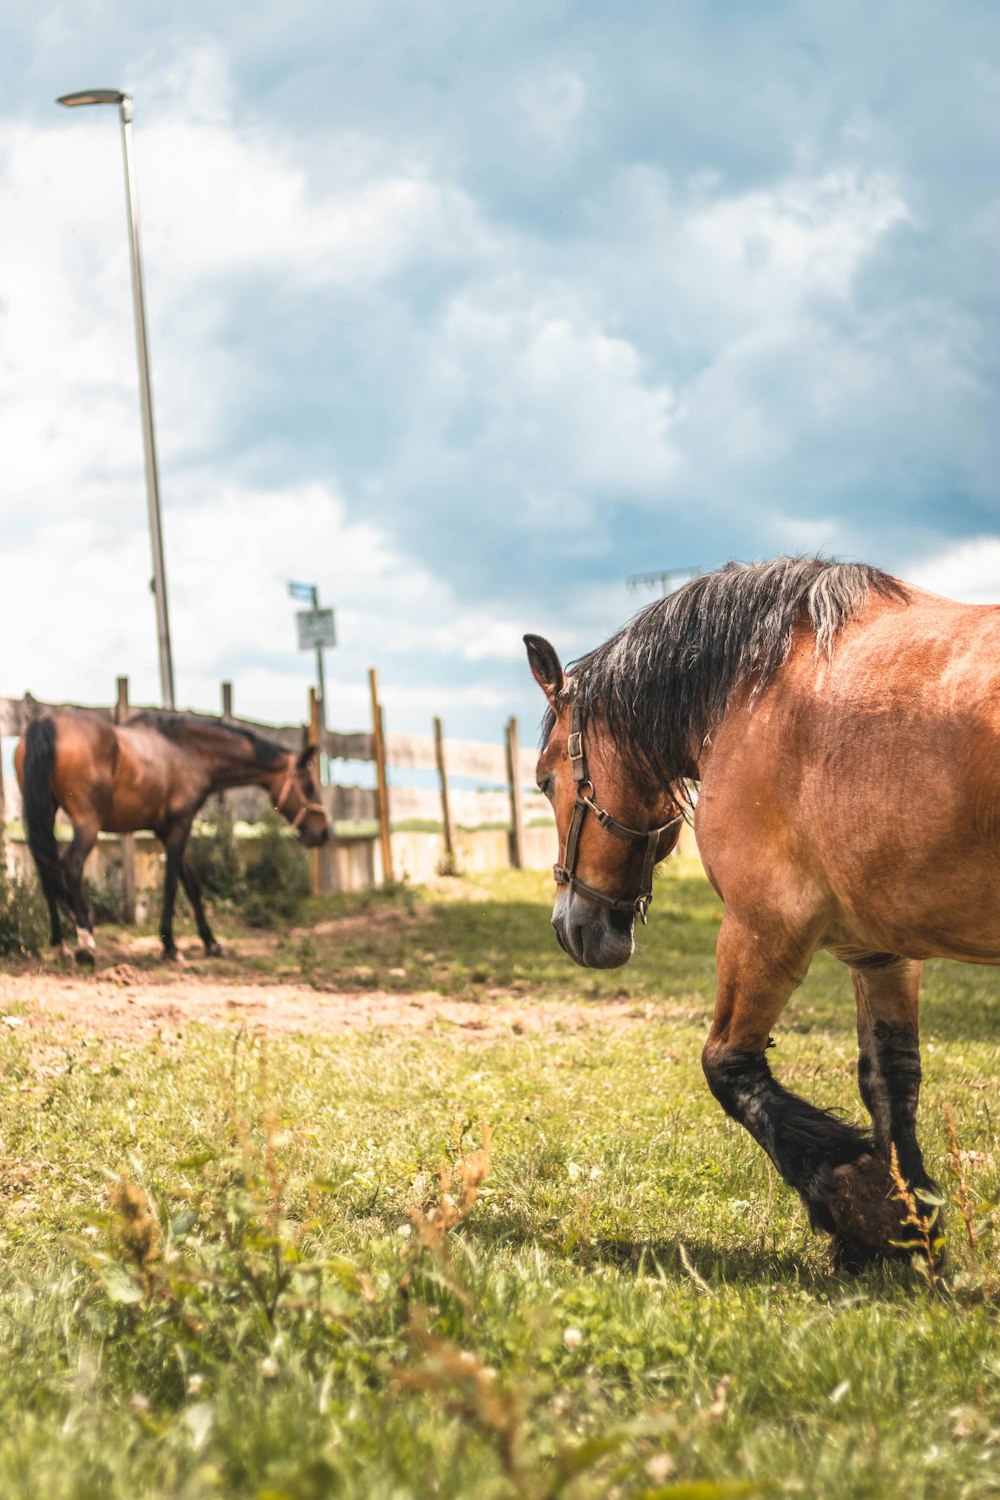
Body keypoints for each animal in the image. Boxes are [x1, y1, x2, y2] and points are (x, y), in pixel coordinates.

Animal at [13, 711, 328, 960]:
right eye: (309, 786)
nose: (323, 832)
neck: (187, 751)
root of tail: (45, 724)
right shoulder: (179, 827)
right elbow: (173, 884)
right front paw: (170, 946)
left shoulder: (168, 830)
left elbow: (192, 886)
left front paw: (211, 943)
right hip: (87, 825)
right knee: (70, 866)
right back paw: (85, 941)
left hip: (44, 815)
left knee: (46, 872)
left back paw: (59, 945)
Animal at [527, 561, 1000, 1266]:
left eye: (545, 780)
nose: (569, 927)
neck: (753, 690)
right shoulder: (880, 953)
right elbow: (892, 1080)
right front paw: (910, 1220)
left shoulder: (764, 928)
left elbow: (729, 1066)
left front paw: (859, 1201)